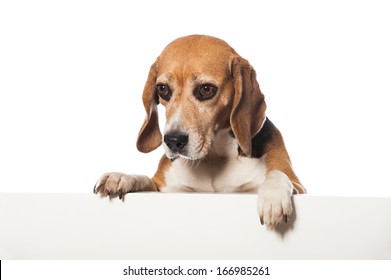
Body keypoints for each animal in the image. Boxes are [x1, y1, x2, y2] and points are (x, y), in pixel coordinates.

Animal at [94, 34, 306, 230]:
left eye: (206, 89)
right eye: (162, 89)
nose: (173, 140)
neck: (214, 157)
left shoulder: (298, 186)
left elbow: (278, 174)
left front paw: (273, 197)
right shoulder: (164, 188)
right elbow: (144, 178)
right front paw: (121, 177)